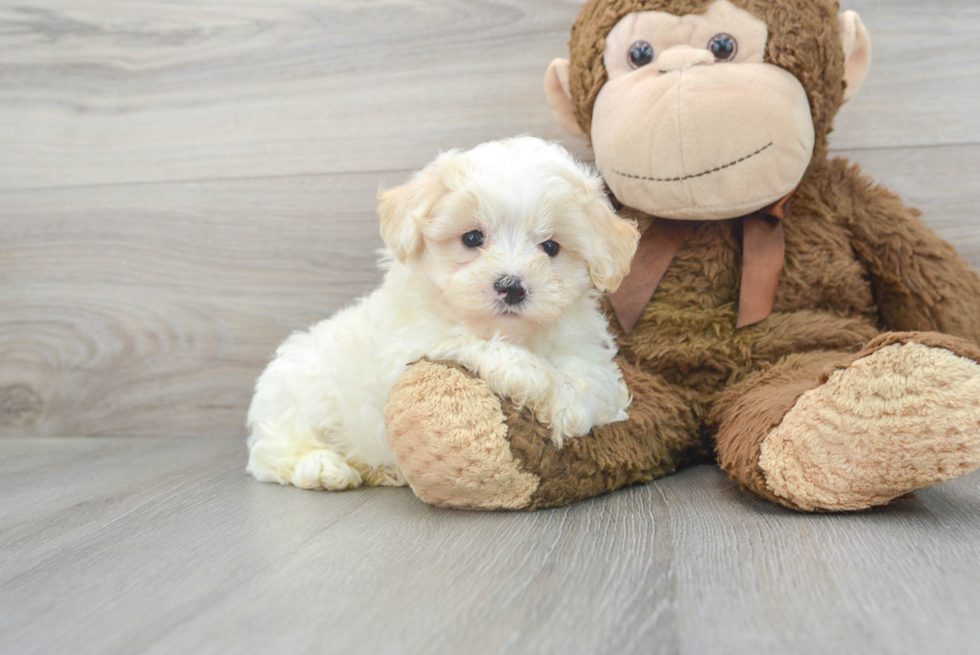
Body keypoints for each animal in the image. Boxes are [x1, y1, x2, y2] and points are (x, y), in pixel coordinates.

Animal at [249, 136, 640, 490]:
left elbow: (588, 388)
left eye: (551, 247)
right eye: (472, 238)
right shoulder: (408, 346)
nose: (512, 286)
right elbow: (467, 342)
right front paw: (530, 372)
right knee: (271, 454)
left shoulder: (589, 357)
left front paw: (559, 400)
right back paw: (322, 466)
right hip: (293, 395)